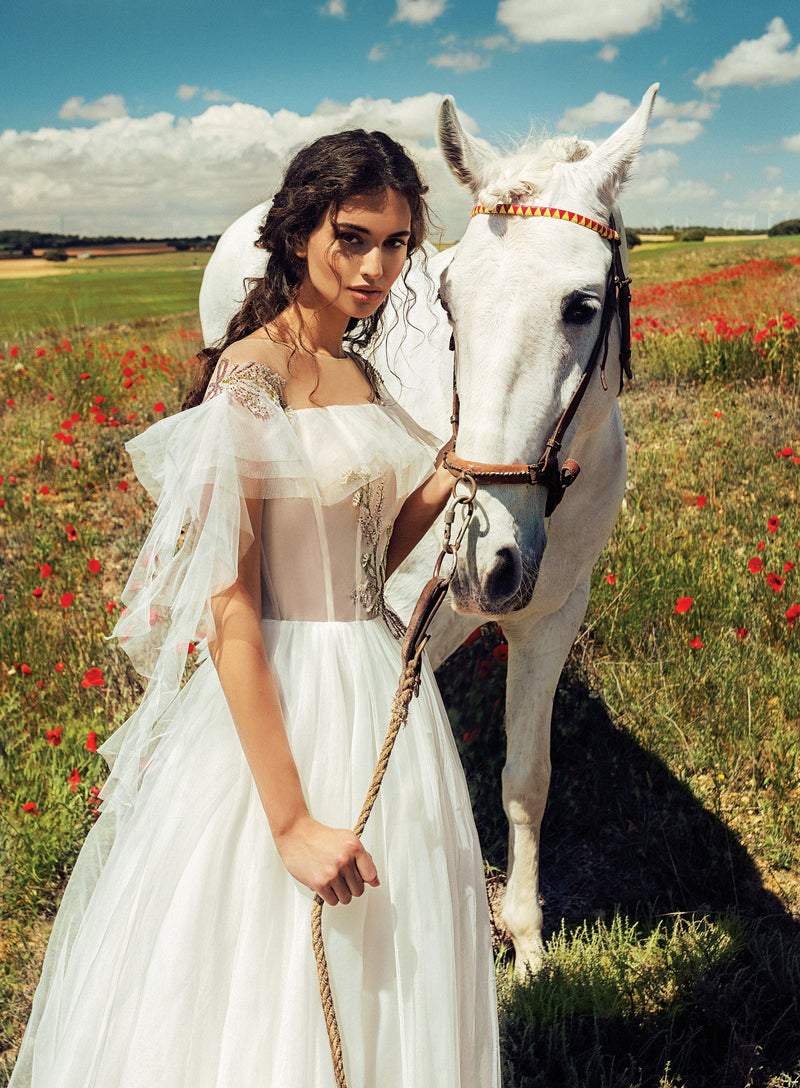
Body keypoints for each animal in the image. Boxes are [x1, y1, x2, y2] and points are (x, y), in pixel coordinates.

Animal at [199, 87, 657, 970]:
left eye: (582, 305)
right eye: (450, 301)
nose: (486, 563)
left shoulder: (552, 616)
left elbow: (527, 779)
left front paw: (525, 937)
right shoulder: (404, 623)